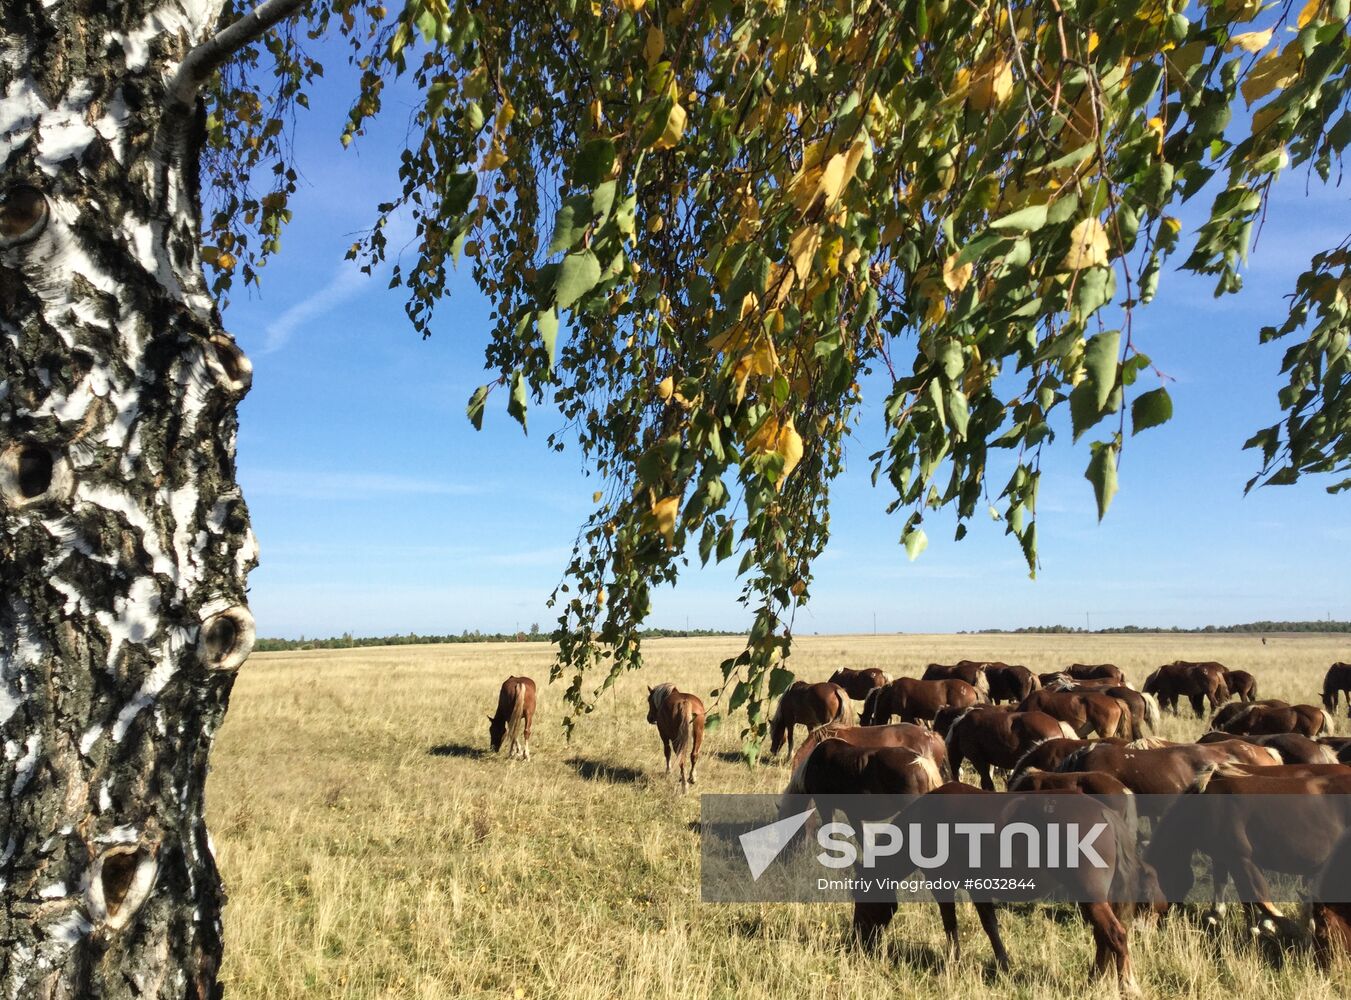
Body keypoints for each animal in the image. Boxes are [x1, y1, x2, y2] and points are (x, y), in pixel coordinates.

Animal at [853, 783, 1161, 994]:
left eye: (861, 898)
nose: (858, 942)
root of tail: (1105, 814)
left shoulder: (942, 883)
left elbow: (951, 925)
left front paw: (954, 963)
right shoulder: (978, 887)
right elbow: (990, 925)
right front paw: (1003, 964)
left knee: (1114, 935)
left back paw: (1127, 985)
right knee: (1103, 938)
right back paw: (1093, 981)